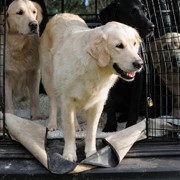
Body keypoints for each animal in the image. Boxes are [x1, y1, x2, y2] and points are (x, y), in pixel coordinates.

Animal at [39, 13, 143, 161]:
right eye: (119, 46)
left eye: (134, 44)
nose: (139, 63)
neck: (94, 67)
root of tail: (61, 14)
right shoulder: (67, 100)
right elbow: (69, 130)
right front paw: (69, 154)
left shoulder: (97, 104)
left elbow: (91, 132)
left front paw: (92, 154)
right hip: (48, 77)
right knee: (53, 102)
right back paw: (52, 125)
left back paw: (77, 126)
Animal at [99, 0, 154, 132]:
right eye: (132, 11)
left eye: (145, 10)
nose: (152, 26)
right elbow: (111, 106)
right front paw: (110, 125)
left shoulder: (137, 79)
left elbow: (133, 106)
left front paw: (131, 126)